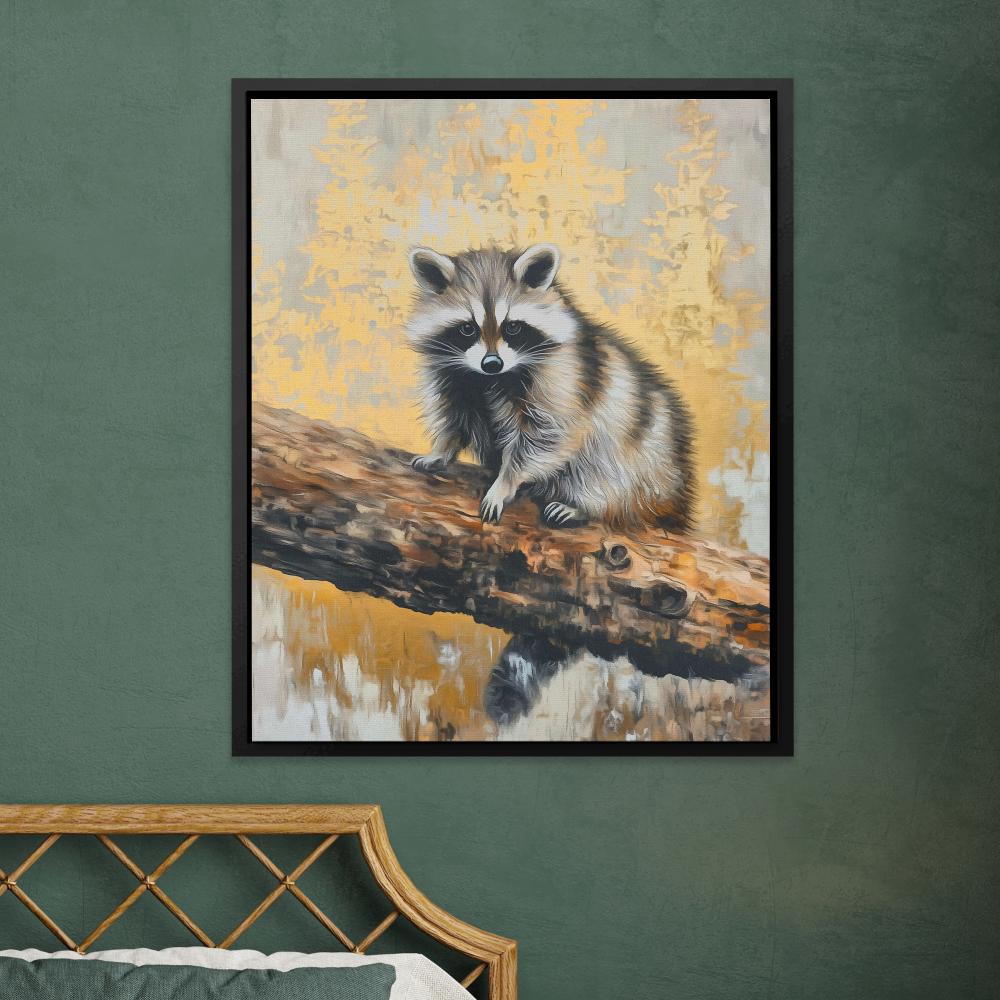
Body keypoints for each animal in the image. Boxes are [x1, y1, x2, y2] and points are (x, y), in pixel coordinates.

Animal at [406, 243, 695, 531]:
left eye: (512, 327)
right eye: (467, 328)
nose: (492, 363)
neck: (489, 379)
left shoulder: (561, 378)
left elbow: (546, 435)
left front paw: (504, 483)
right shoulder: (451, 375)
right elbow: (452, 418)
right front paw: (441, 450)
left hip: (644, 460)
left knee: (606, 475)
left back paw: (585, 506)